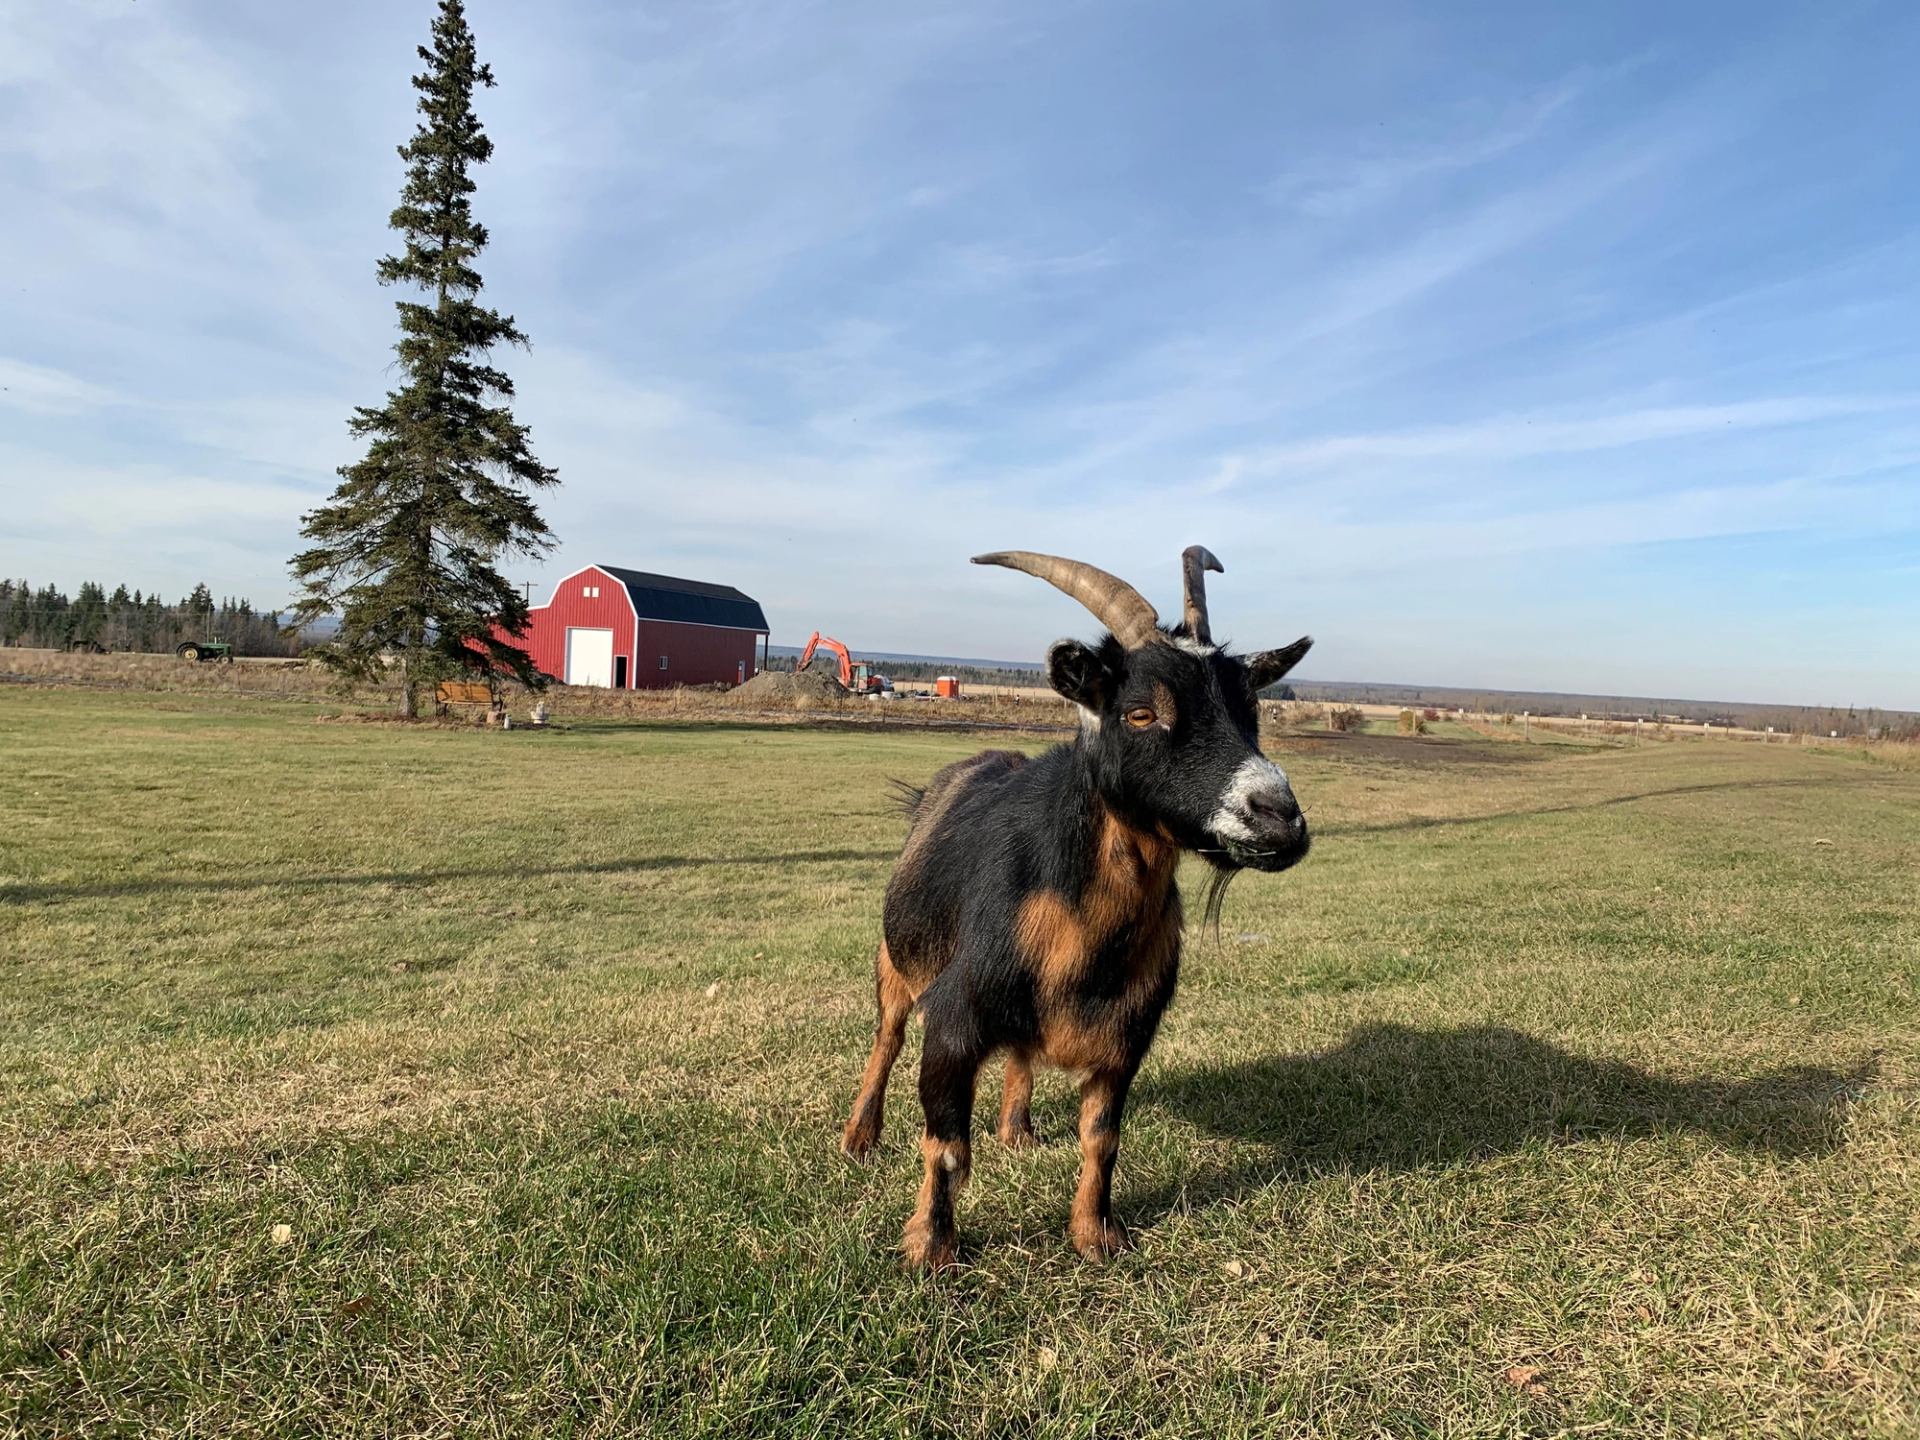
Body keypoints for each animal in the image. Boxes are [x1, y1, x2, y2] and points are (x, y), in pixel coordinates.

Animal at [842, 547, 1313, 1268]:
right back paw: (859, 1137)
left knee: (1020, 1056)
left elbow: (1102, 1137)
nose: (1278, 818)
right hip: (894, 959)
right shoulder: (951, 1018)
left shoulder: (1128, 1037)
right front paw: (931, 1247)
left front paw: (1097, 1234)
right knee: (886, 1036)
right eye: (1142, 713)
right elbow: (947, 1146)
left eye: (1251, 710)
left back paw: (1017, 1129)